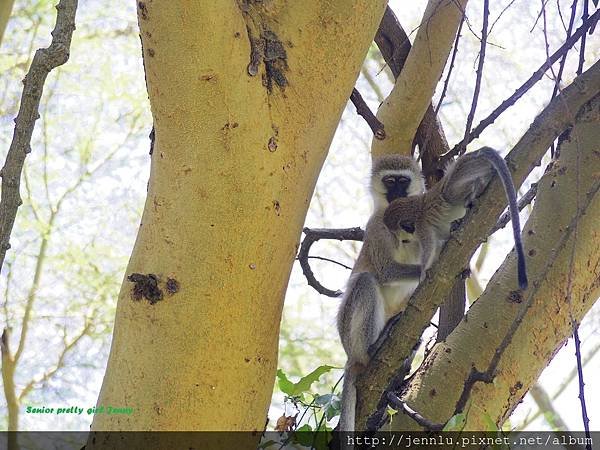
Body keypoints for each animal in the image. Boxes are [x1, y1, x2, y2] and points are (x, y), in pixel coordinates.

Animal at [338, 156, 426, 432]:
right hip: (350, 335)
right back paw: (373, 348)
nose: (397, 193)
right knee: (366, 282)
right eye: (390, 181)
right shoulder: (375, 226)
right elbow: (386, 271)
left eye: (403, 181)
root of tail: (350, 356)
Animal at [382, 146, 528, 290]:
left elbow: (429, 248)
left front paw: (422, 274)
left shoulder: (422, 227)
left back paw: (478, 186)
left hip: (465, 170)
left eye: (402, 237)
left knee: (448, 193)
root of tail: (476, 154)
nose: (403, 241)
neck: (414, 209)